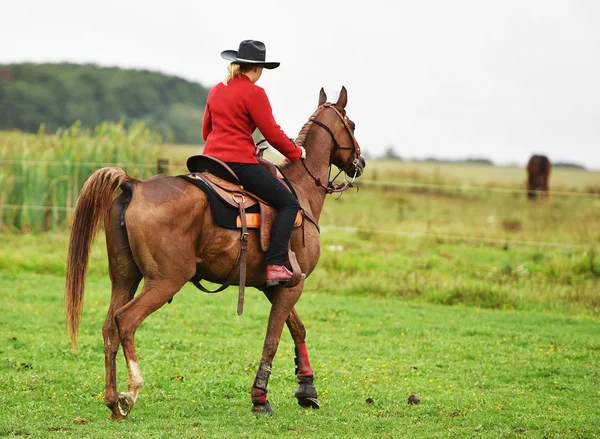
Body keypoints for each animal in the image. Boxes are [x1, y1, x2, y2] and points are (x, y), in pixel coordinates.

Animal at [64, 86, 366, 420]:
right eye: (352, 125)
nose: (360, 162)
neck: (301, 192)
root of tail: (135, 184)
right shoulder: (292, 287)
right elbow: (272, 340)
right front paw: (260, 398)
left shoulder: (276, 287)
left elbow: (298, 330)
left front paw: (307, 388)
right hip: (165, 281)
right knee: (126, 321)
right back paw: (131, 393)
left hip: (124, 278)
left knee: (109, 328)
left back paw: (113, 400)